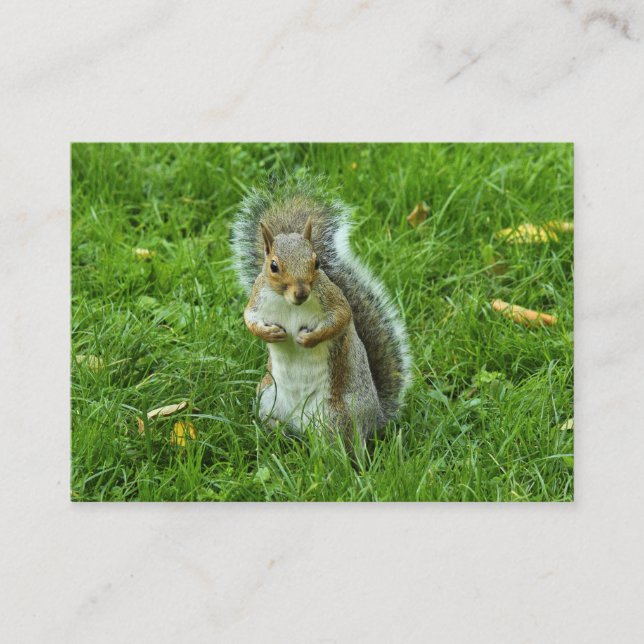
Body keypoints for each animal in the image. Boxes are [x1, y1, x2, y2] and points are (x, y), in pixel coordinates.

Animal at [231, 178, 410, 444]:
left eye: (316, 263)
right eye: (273, 266)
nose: (301, 293)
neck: (289, 304)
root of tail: (374, 417)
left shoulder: (334, 300)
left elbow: (341, 318)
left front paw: (308, 339)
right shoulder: (257, 299)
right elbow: (249, 319)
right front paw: (269, 334)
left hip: (338, 416)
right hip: (266, 396)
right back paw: (274, 434)